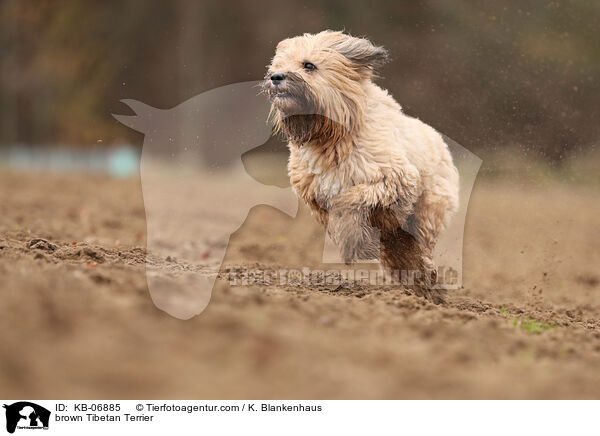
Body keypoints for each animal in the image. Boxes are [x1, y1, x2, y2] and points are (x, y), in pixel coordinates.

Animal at [264, 30, 460, 304]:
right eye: (278, 65)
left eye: (308, 65)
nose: (276, 77)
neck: (333, 135)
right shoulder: (313, 195)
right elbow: (334, 213)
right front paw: (358, 242)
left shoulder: (395, 178)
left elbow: (348, 200)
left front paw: (354, 241)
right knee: (401, 254)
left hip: (426, 212)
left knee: (419, 247)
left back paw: (429, 286)